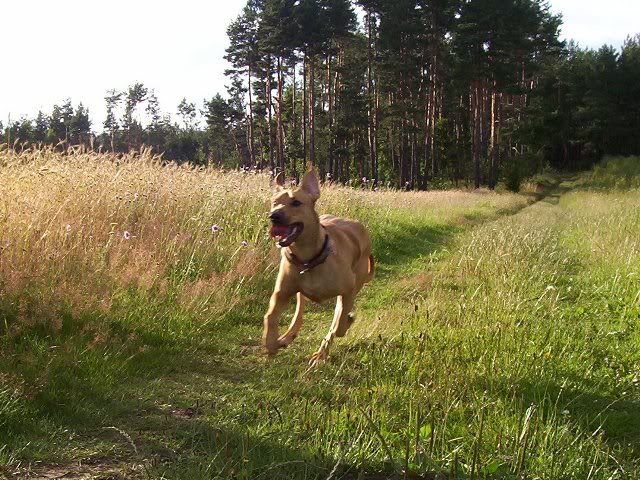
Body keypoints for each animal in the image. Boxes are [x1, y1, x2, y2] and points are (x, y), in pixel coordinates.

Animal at [262, 169, 375, 366]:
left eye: (296, 202)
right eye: (274, 202)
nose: (273, 215)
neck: (309, 258)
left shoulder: (348, 290)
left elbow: (339, 325)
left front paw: (346, 323)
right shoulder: (281, 292)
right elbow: (269, 317)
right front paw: (272, 344)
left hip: (354, 283)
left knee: (337, 318)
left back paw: (321, 353)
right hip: (298, 290)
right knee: (299, 311)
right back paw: (287, 337)